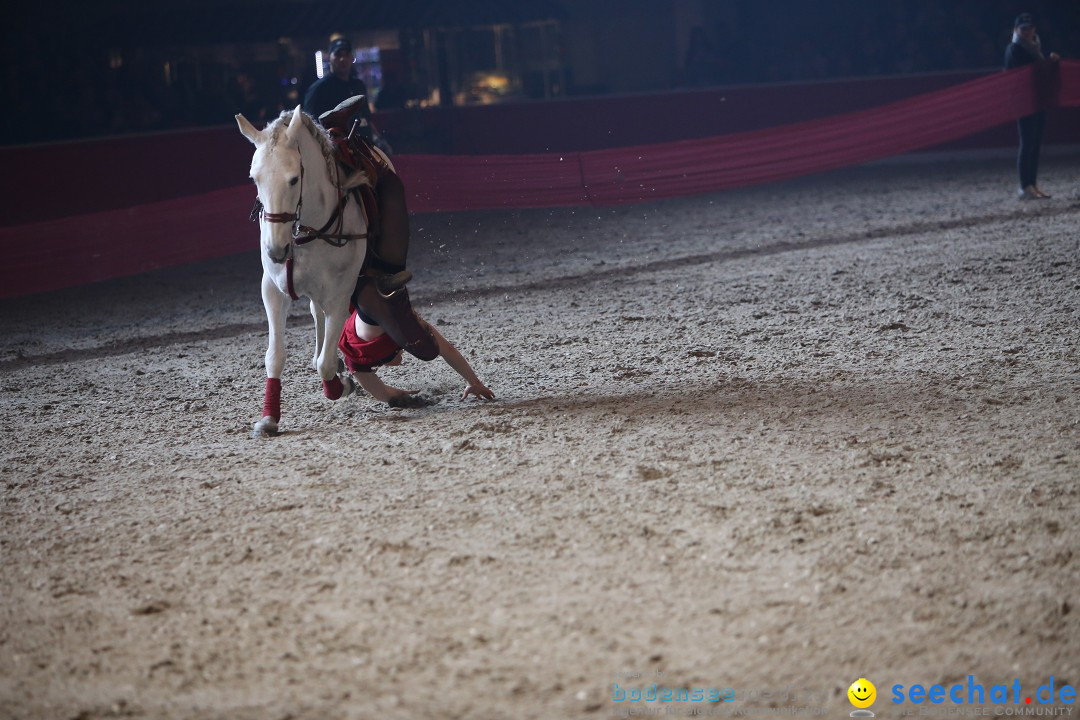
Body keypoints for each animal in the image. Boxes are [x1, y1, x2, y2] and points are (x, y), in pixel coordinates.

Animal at [236, 104, 371, 436]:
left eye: (294, 179)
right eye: (254, 178)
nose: (276, 250)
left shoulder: (339, 295)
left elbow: (326, 363)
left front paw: (341, 385)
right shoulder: (272, 291)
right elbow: (275, 356)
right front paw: (269, 418)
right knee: (315, 314)